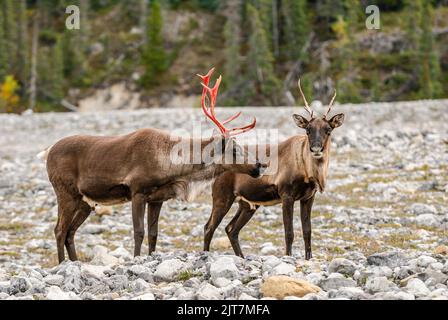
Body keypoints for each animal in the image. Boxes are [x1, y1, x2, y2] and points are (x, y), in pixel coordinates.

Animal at [205, 80, 344, 260]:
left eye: (328, 130)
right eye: (308, 130)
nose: (316, 149)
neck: (307, 172)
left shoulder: (308, 197)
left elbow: (307, 231)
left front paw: (309, 258)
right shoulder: (287, 195)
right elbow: (289, 233)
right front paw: (289, 257)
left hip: (247, 204)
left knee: (231, 229)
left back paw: (241, 257)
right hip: (222, 196)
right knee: (209, 227)